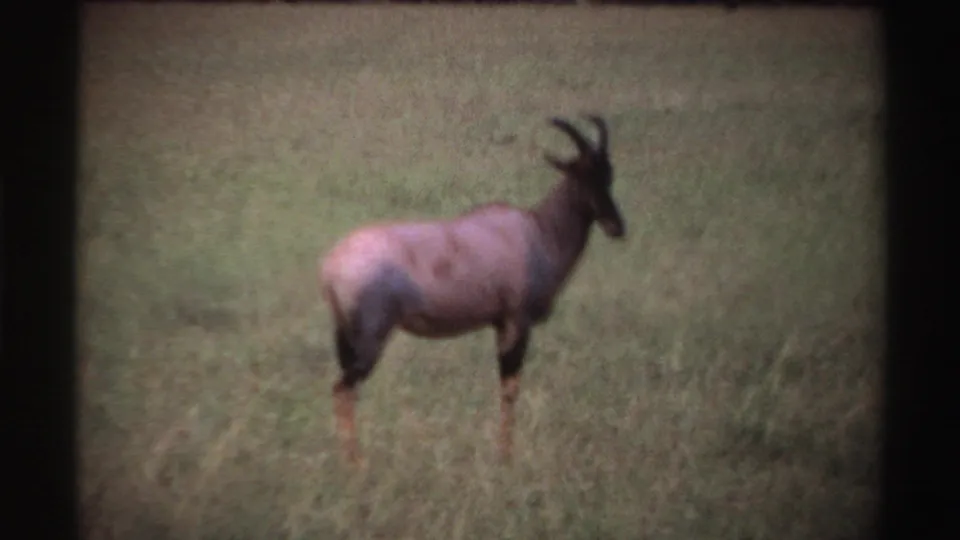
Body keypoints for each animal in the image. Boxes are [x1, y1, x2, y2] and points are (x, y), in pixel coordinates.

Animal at [318, 115, 626, 466]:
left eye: (608, 173)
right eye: (581, 173)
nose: (617, 227)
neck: (536, 231)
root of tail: (331, 266)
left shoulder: (499, 323)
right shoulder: (516, 322)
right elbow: (510, 388)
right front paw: (505, 458)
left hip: (347, 339)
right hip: (371, 339)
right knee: (343, 390)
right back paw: (355, 465)